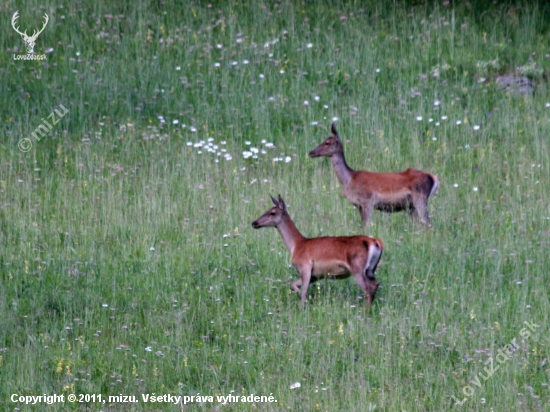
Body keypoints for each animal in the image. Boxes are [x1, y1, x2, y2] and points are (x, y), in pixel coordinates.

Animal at [251, 195, 384, 308]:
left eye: (272, 212)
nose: (254, 223)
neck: (296, 245)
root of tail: (375, 241)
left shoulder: (305, 267)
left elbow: (303, 292)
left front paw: (304, 305)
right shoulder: (315, 275)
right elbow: (293, 285)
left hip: (357, 267)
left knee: (367, 288)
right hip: (371, 269)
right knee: (375, 284)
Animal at [310, 122, 440, 229]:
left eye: (327, 143)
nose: (311, 152)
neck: (349, 179)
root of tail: (434, 178)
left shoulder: (368, 201)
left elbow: (366, 226)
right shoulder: (359, 205)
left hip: (420, 198)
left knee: (428, 223)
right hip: (411, 206)